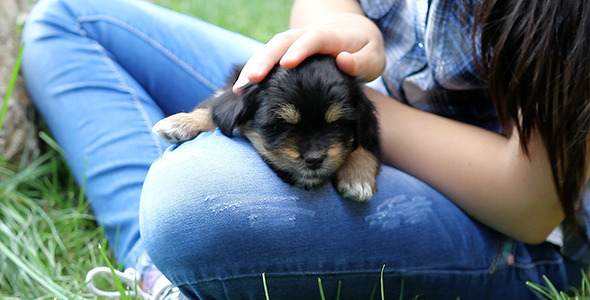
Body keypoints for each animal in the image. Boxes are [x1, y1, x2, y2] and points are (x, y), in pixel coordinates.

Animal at [155, 54, 382, 202]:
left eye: (337, 124)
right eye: (282, 124)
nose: (315, 159)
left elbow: (365, 142)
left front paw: (358, 178)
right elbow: (216, 106)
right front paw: (181, 122)